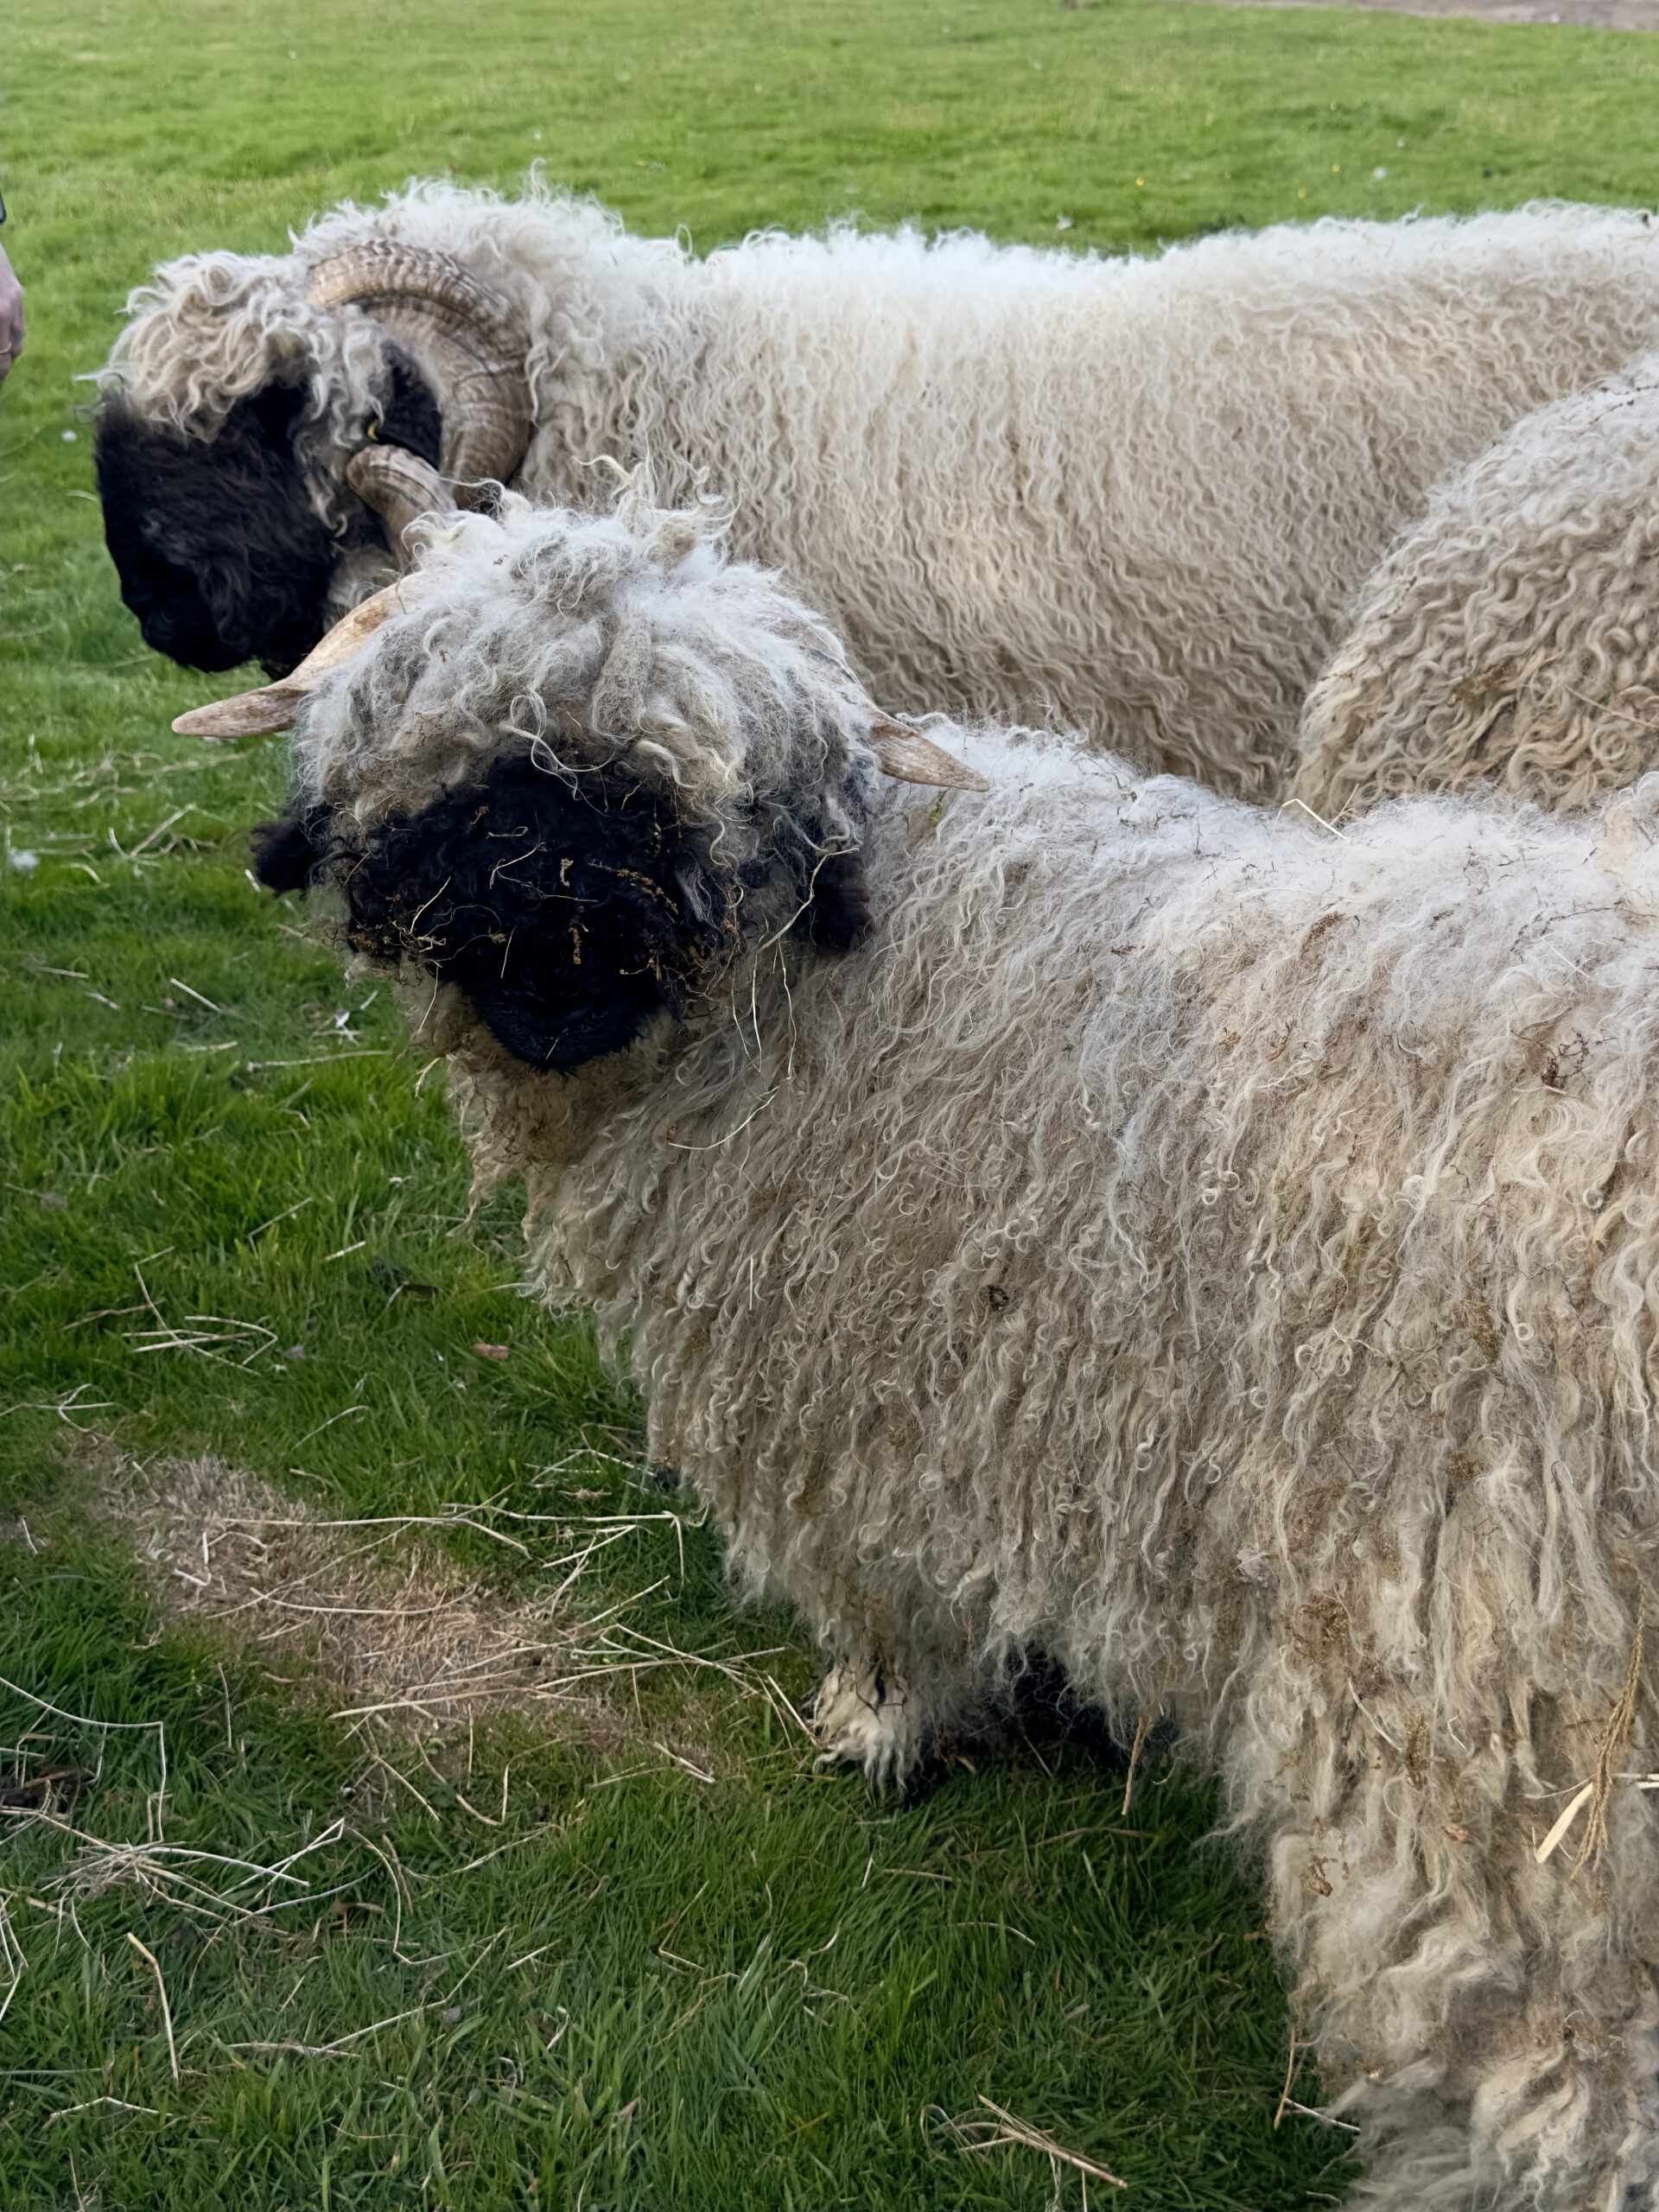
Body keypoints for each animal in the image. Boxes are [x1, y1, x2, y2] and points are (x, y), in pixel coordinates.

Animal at [192, 484, 1659, 2212]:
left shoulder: (856, 1397)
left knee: (1554, 2063)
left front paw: (885, 1733)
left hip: (1509, 1724)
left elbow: (888, 1596)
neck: (824, 980)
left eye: (672, 796)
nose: (556, 923)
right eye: (466, 764)